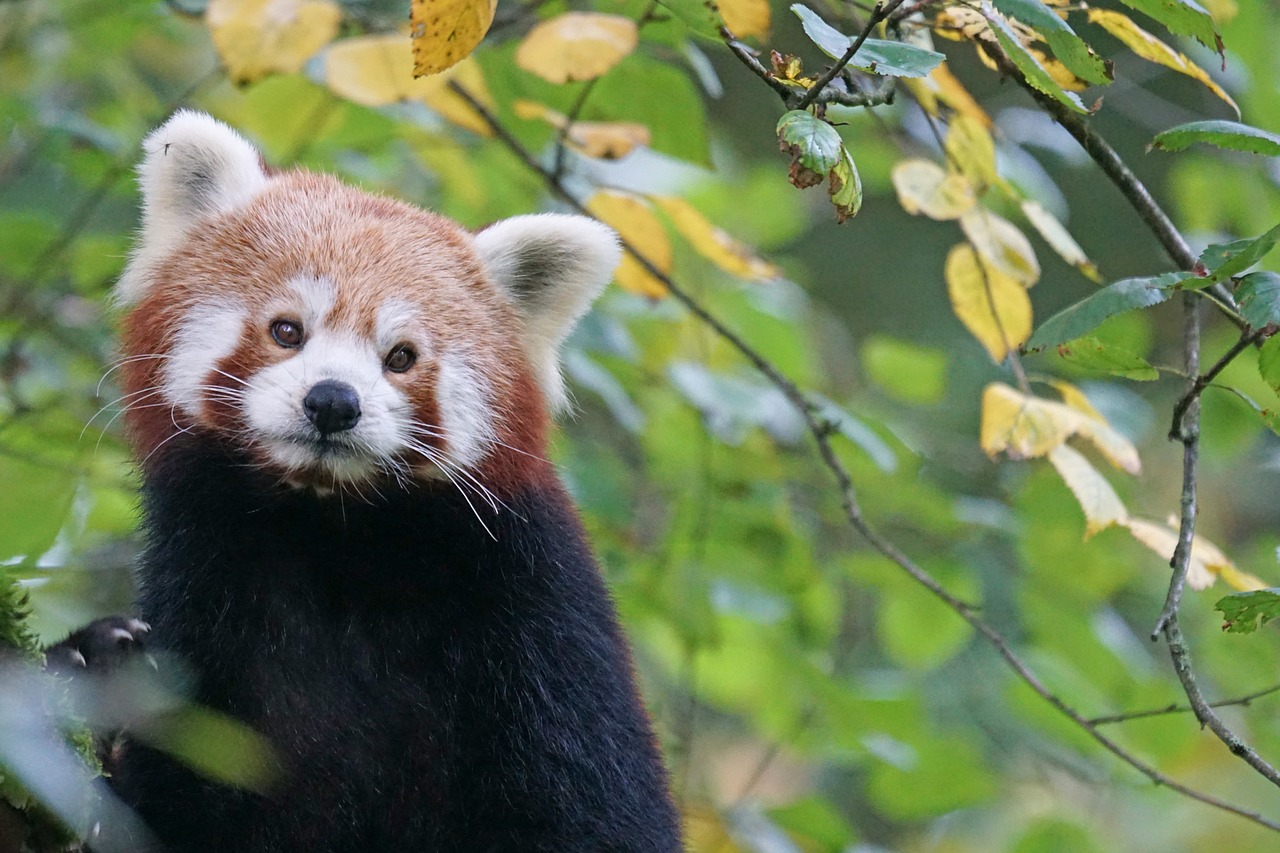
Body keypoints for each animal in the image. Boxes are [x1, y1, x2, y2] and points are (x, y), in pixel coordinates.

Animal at [78, 112, 686, 850]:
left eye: (401, 356)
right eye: (287, 329)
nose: (333, 402)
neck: (335, 538)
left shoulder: (539, 621)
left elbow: (593, 808)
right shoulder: (213, 594)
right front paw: (95, 659)